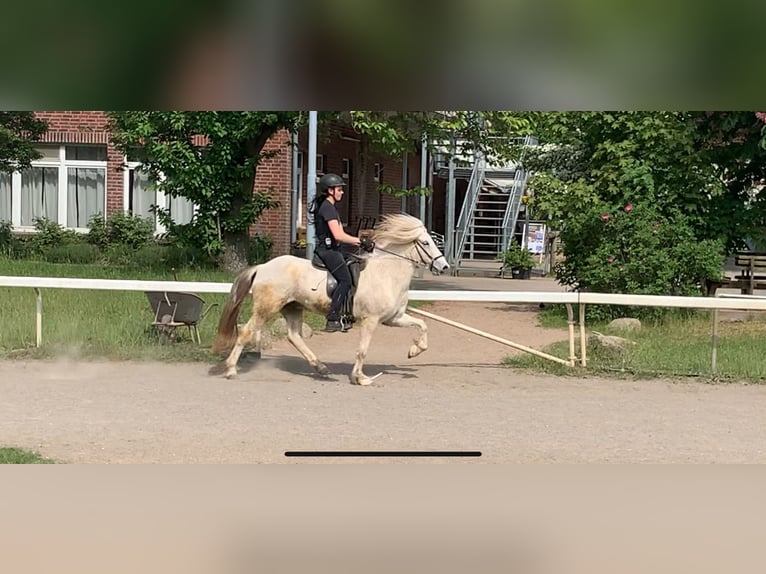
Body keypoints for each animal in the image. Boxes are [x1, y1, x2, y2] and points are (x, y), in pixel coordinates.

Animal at [212, 214, 450, 384]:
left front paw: (414, 351)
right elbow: (363, 350)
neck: (387, 273)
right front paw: (360, 378)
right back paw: (231, 369)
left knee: (294, 336)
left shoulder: (394, 318)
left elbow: (423, 325)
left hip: (293, 307)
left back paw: (320, 367)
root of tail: (262, 267)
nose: (444, 266)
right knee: (246, 332)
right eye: (425, 243)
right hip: (267, 308)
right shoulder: (371, 320)